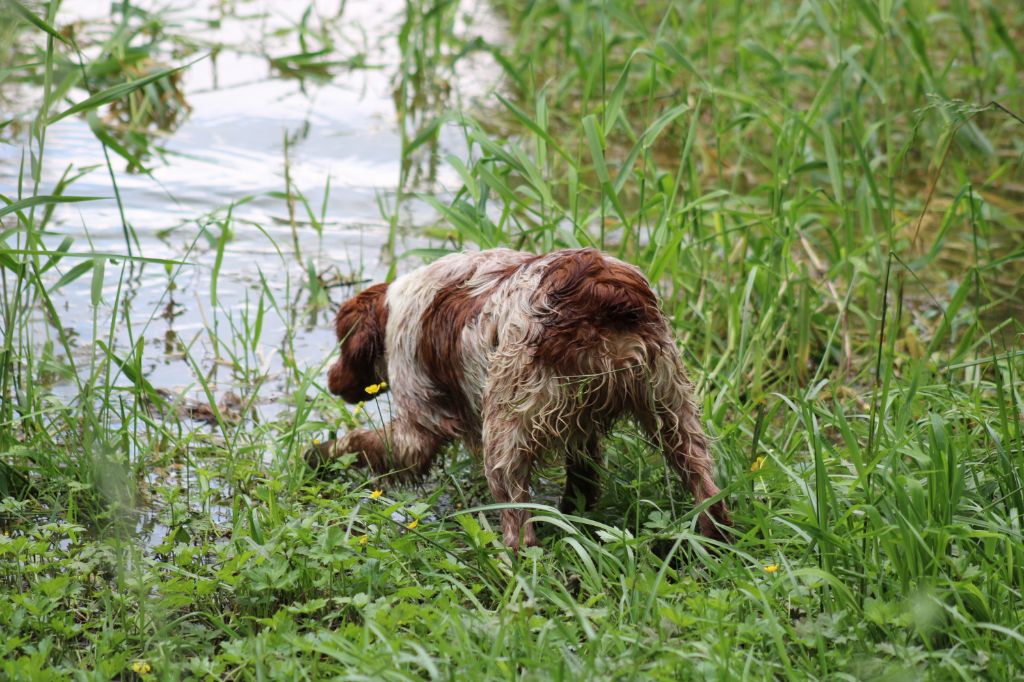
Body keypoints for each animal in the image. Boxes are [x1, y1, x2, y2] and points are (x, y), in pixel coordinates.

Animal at [307, 248, 733, 548]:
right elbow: (584, 478)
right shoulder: (583, 429)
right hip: (672, 409)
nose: (331, 381)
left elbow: (362, 442)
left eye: (342, 343)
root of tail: (598, 288)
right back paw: (715, 542)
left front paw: (317, 454)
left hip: (503, 431)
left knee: (518, 528)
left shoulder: (416, 424)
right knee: (706, 487)